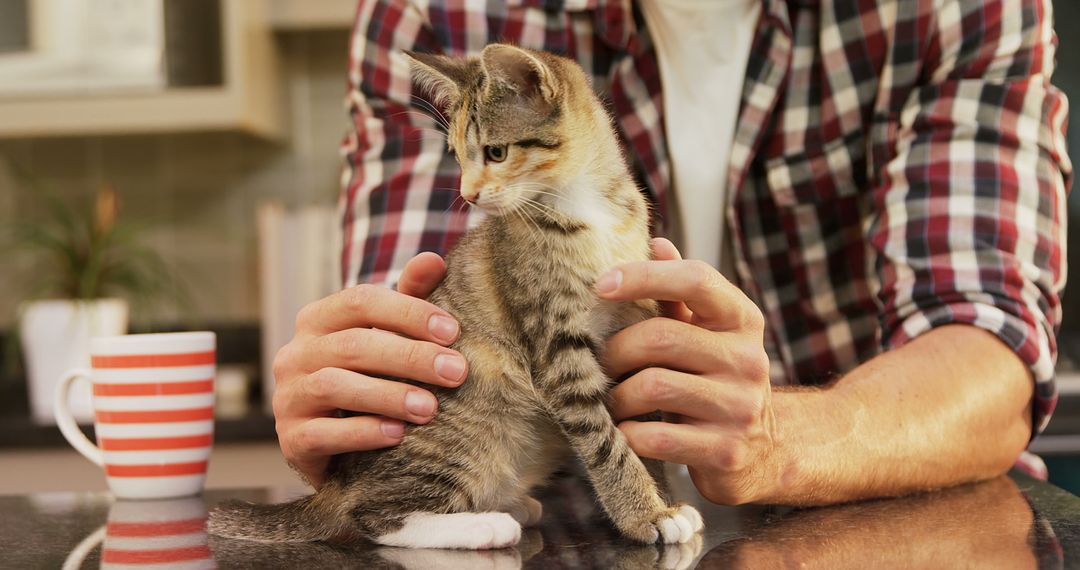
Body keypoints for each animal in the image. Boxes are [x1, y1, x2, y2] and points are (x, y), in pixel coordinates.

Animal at [207, 43, 704, 548]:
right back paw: (483, 524)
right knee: (374, 518)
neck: (586, 208)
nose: (468, 195)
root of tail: (337, 485)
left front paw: (660, 496)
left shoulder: (634, 317)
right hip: (464, 428)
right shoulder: (553, 343)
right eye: (458, 157)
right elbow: (602, 437)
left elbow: (644, 425)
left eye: (496, 152)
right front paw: (645, 514)